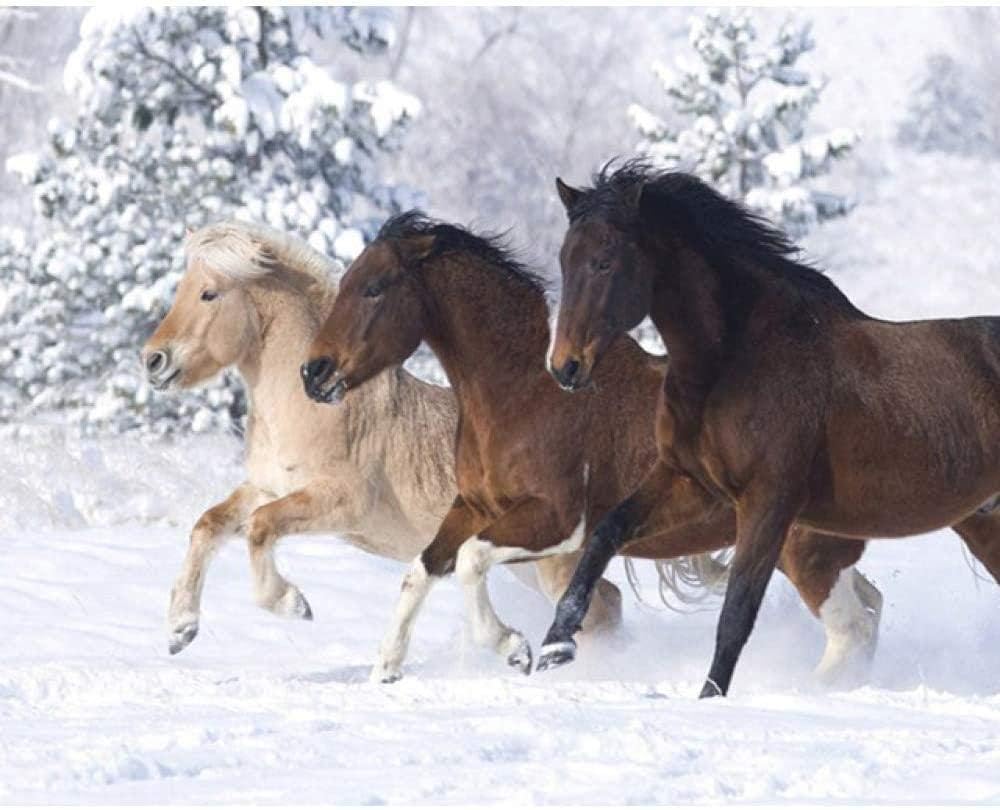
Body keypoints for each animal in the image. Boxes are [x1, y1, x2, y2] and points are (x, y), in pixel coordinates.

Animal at [140, 220, 623, 670]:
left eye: (209, 293)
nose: (153, 360)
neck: (313, 407)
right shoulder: (267, 487)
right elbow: (209, 524)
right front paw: (181, 629)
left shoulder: (340, 502)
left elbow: (260, 527)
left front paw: (293, 604)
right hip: (527, 564)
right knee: (609, 601)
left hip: (550, 561)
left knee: (600, 609)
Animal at [301, 211, 883, 684]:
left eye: (374, 288)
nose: (314, 373)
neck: (522, 392)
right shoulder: (473, 507)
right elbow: (421, 569)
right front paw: (386, 668)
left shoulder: (559, 522)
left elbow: (469, 561)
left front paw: (515, 648)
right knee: (869, 609)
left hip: (804, 552)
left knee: (853, 628)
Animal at [541, 161, 1000, 697]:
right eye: (565, 259)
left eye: (605, 261)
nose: (565, 367)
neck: (736, 357)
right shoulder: (691, 483)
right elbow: (605, 534)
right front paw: (555, 645)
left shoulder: (769, 502)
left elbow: (736, 613)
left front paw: (709, 699)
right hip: (985, 522)